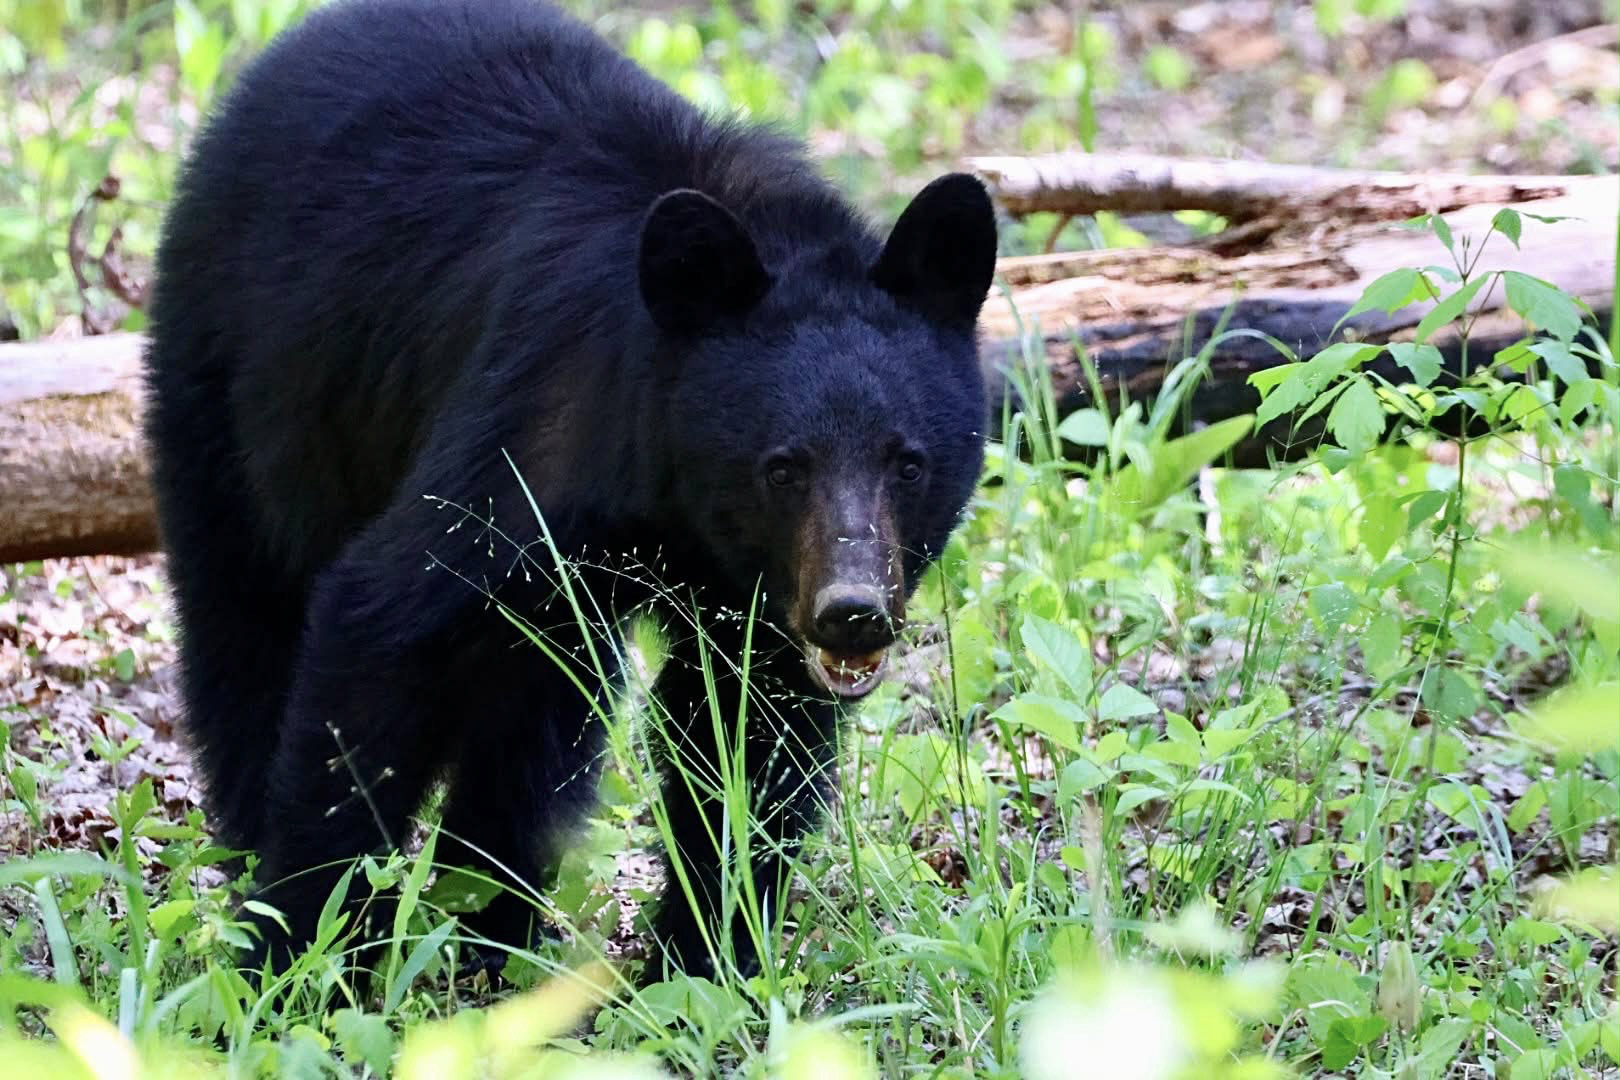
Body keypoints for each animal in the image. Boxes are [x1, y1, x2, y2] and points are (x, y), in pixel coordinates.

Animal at [142, 0, 996, 980]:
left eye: (908, 462)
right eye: (783, 466)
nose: (851, 612)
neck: (670, 503)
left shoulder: (749, 606)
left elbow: (745, 741)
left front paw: (704, 960)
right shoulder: (535, 430)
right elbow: (379, 629)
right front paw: (302, 954)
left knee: (535, 721)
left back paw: (496, 927)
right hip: (233, 381)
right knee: (244, 618)